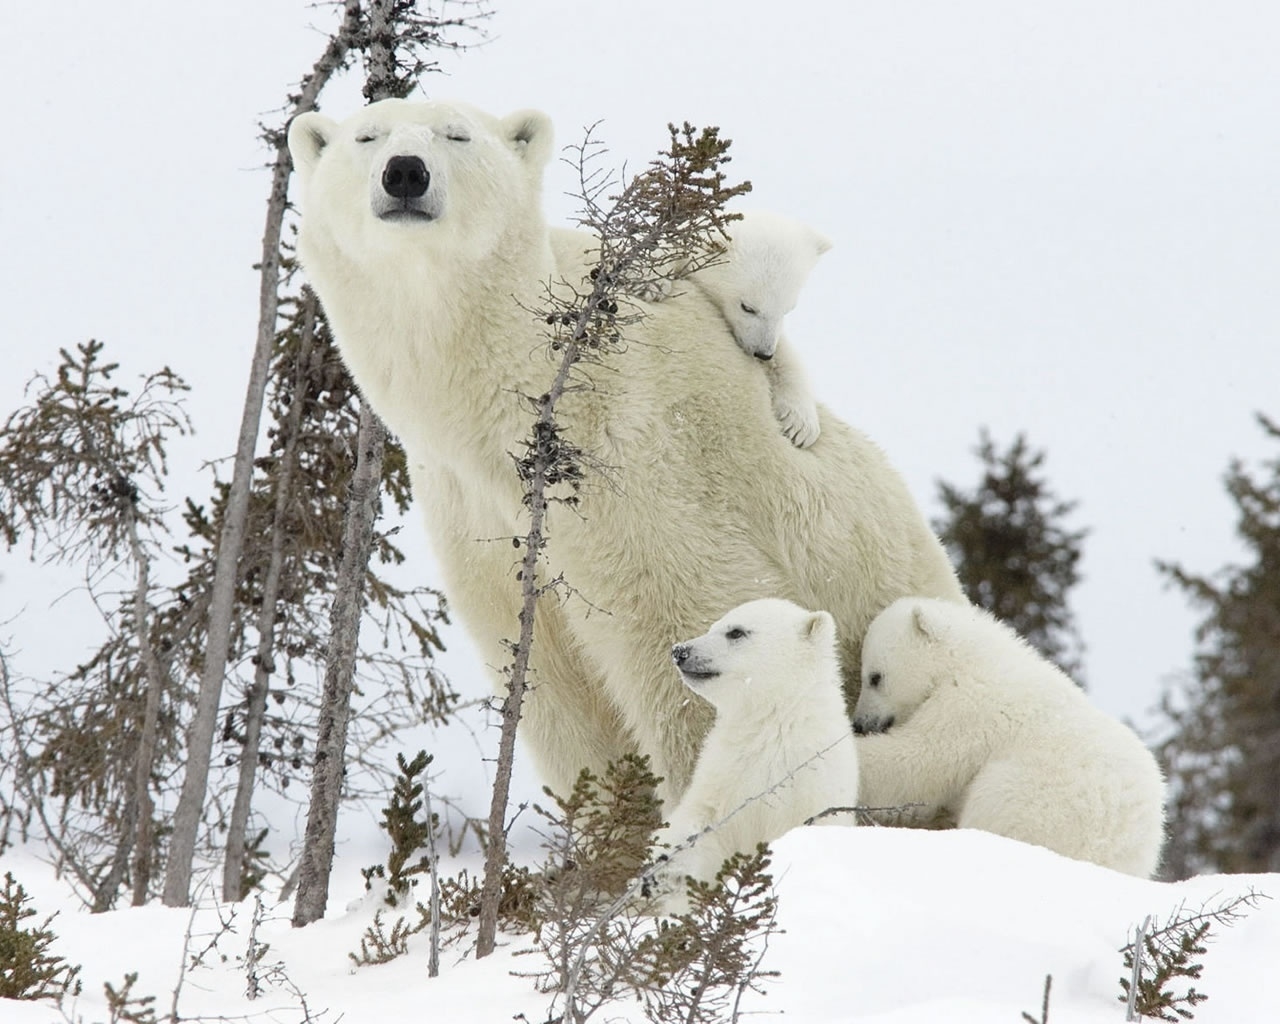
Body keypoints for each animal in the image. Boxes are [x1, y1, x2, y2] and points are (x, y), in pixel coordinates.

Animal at [288, 97, 962, 798]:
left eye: (457, 135)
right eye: (367, 136)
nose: (405, 173)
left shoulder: (638, 468)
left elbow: (690, 641)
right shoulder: (475, 516)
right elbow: (557, 695)